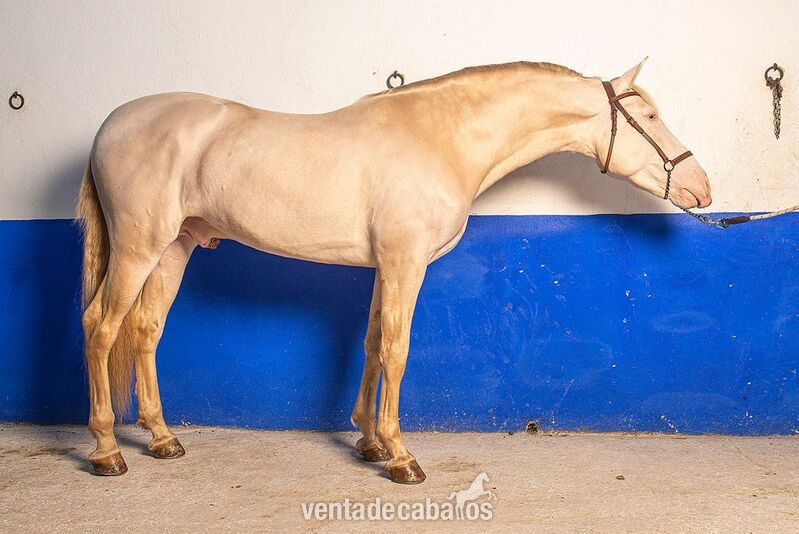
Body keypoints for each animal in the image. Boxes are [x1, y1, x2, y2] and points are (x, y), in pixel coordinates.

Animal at [77, 58, 711, 483]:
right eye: (648, 114)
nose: (702, 187)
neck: (441, 137)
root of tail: (110, 124)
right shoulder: (406, 263)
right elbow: (397, 350)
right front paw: (401, 456)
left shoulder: (387, 267)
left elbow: (373, 341)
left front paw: (368, 442)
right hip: (138, 246)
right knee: (101, 327)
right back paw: (108, 451)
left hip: (176, 248)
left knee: (145, 330)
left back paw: (162, 439)